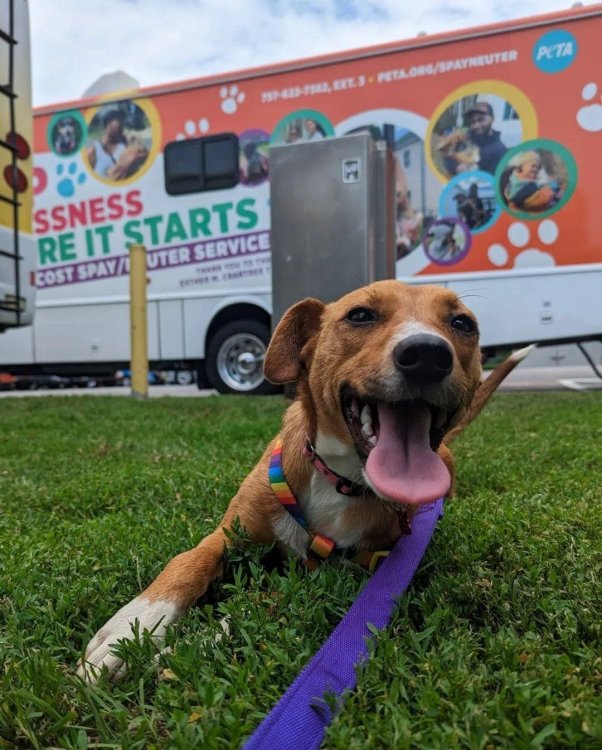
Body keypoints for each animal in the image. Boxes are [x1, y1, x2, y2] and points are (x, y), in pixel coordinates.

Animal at [76, 280, 528, 684]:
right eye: (360, 315)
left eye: (462, 323)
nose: (428, 354)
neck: (338, 478)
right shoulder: (229, 531)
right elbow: (188, 562)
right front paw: (131, 628)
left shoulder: (331, 574)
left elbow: (257, 603)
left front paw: (186, 647)